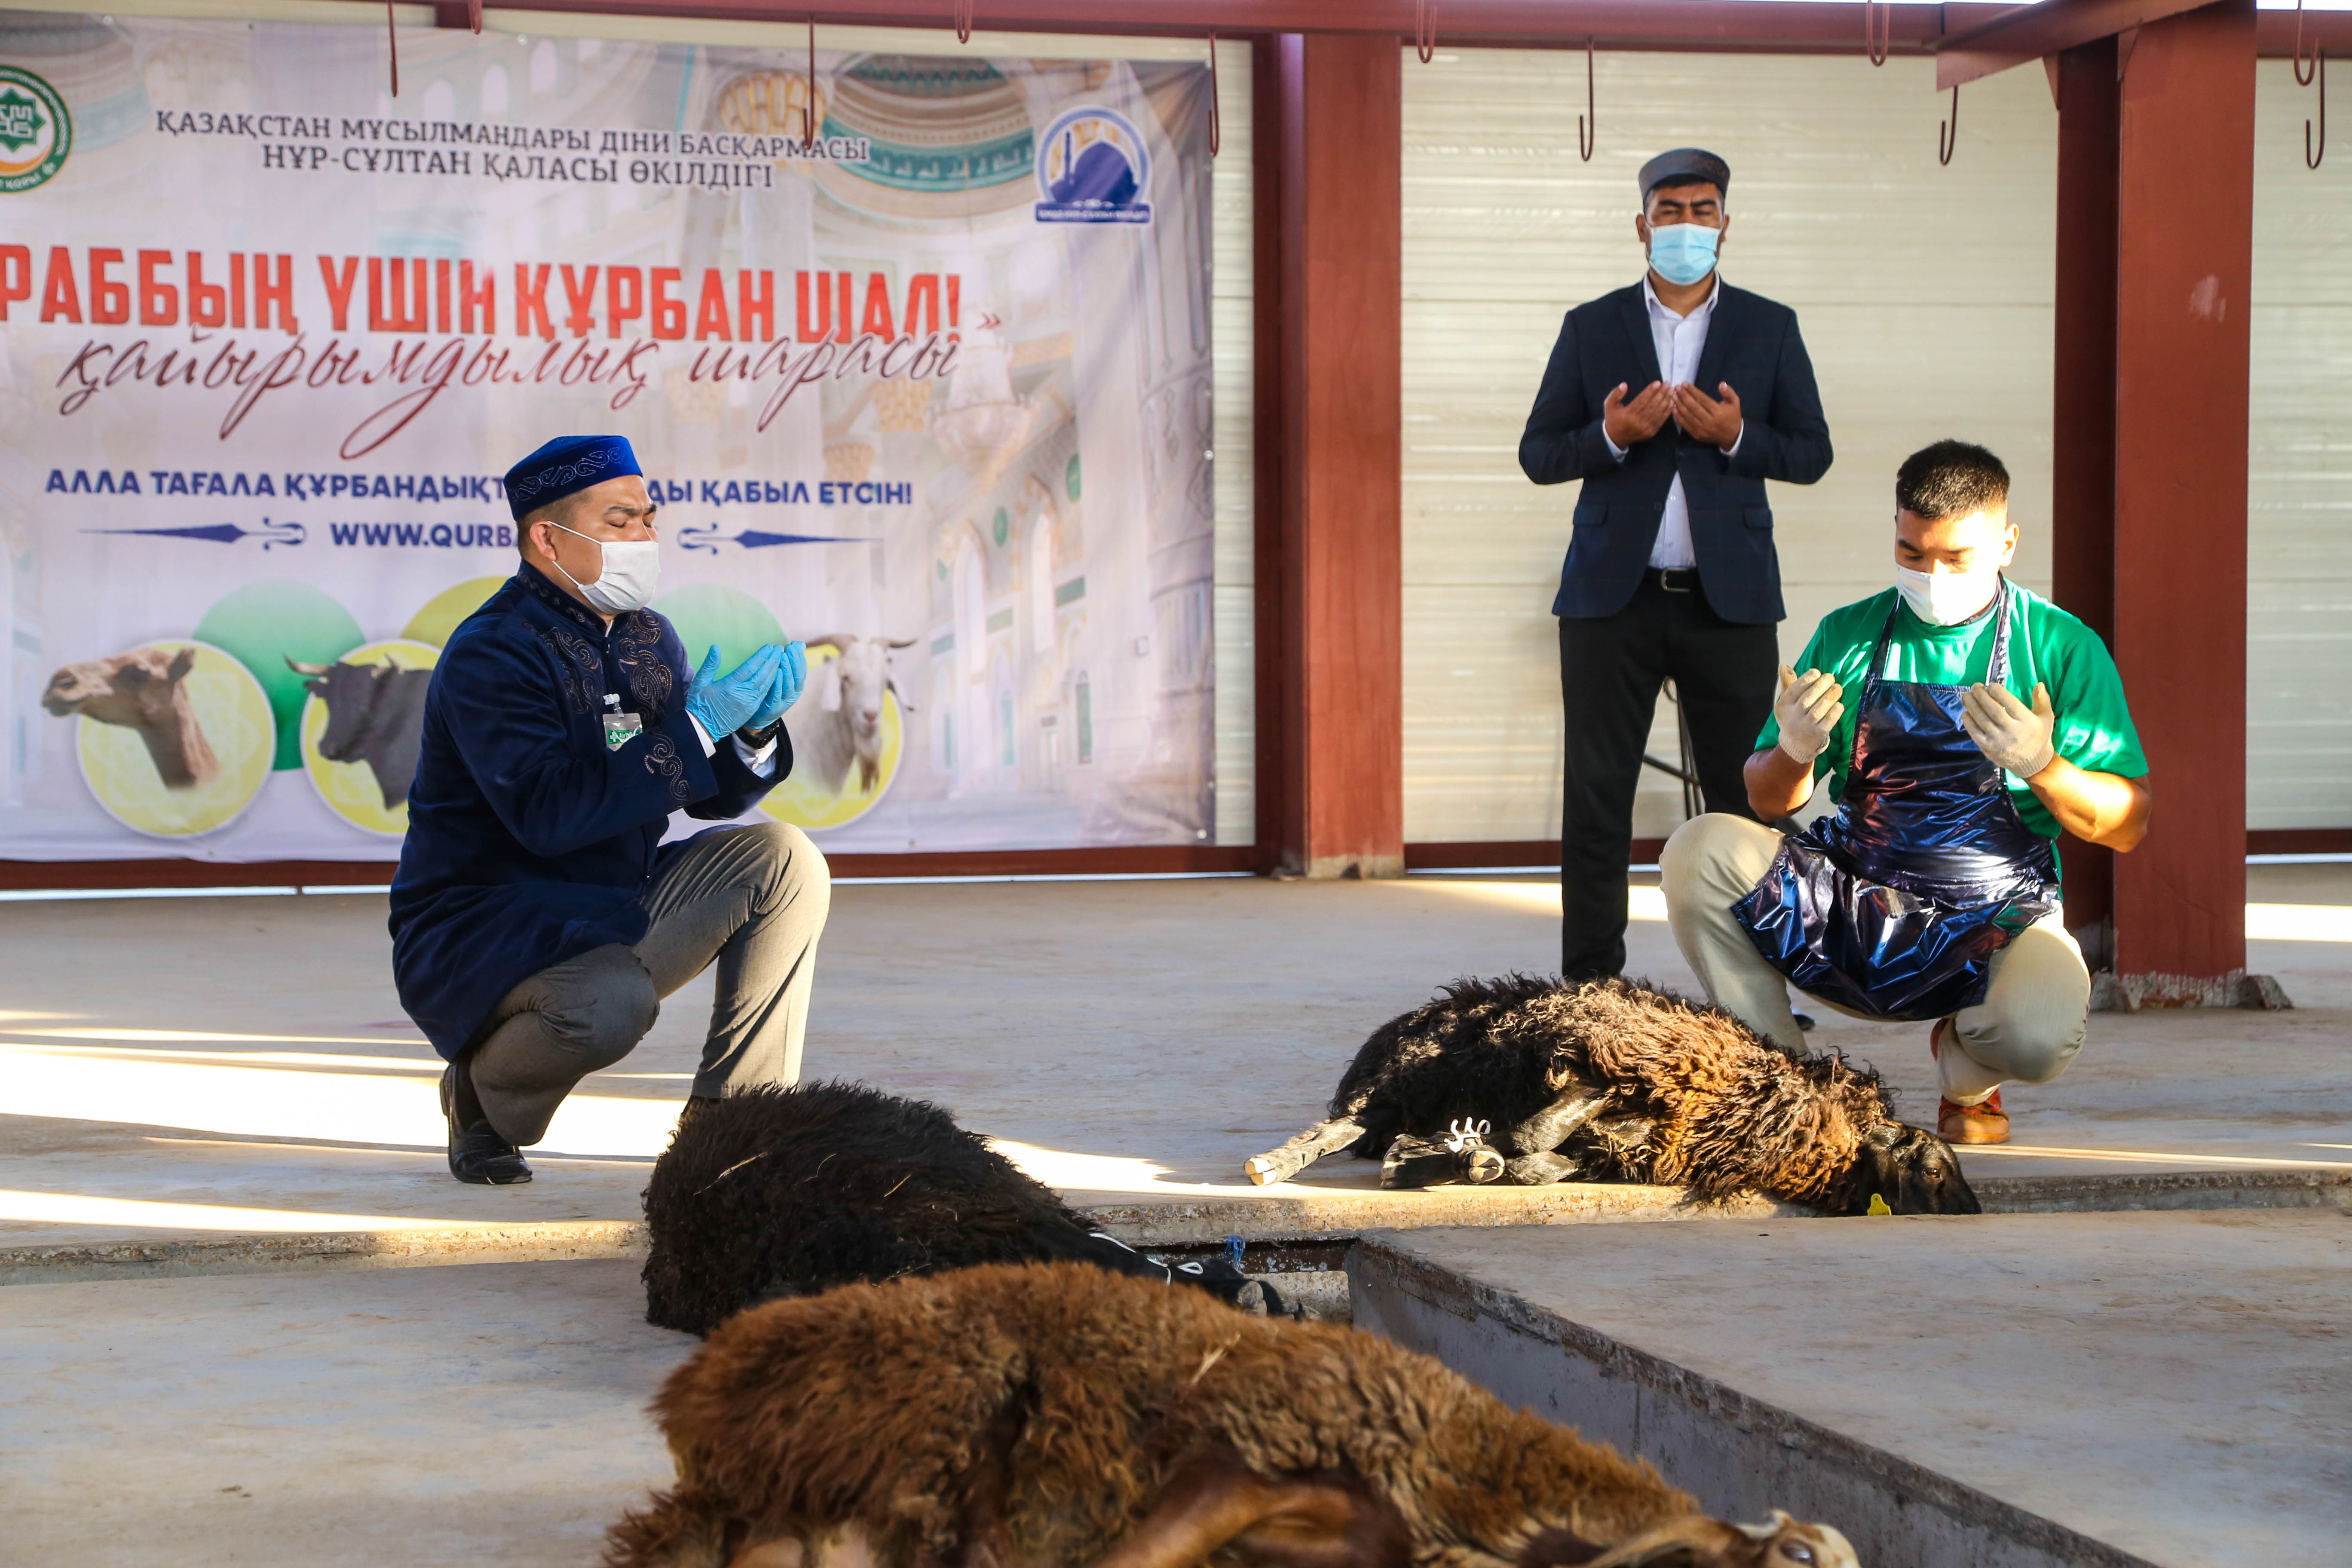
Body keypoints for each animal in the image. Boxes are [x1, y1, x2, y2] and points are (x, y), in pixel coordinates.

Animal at [1242, 973, 1975, 1222]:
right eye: (1934, 1169)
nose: (1973, 1213)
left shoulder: (1638, 1140)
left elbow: (1539, 1157)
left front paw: (1461, 1156)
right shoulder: (1623, 1061)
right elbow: (1534, 1139)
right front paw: (1480, 1155)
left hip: (1412, 1086)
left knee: (1361, 1132)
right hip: (1417, 1069)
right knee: (1346, 1126)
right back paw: (1275, 1166)